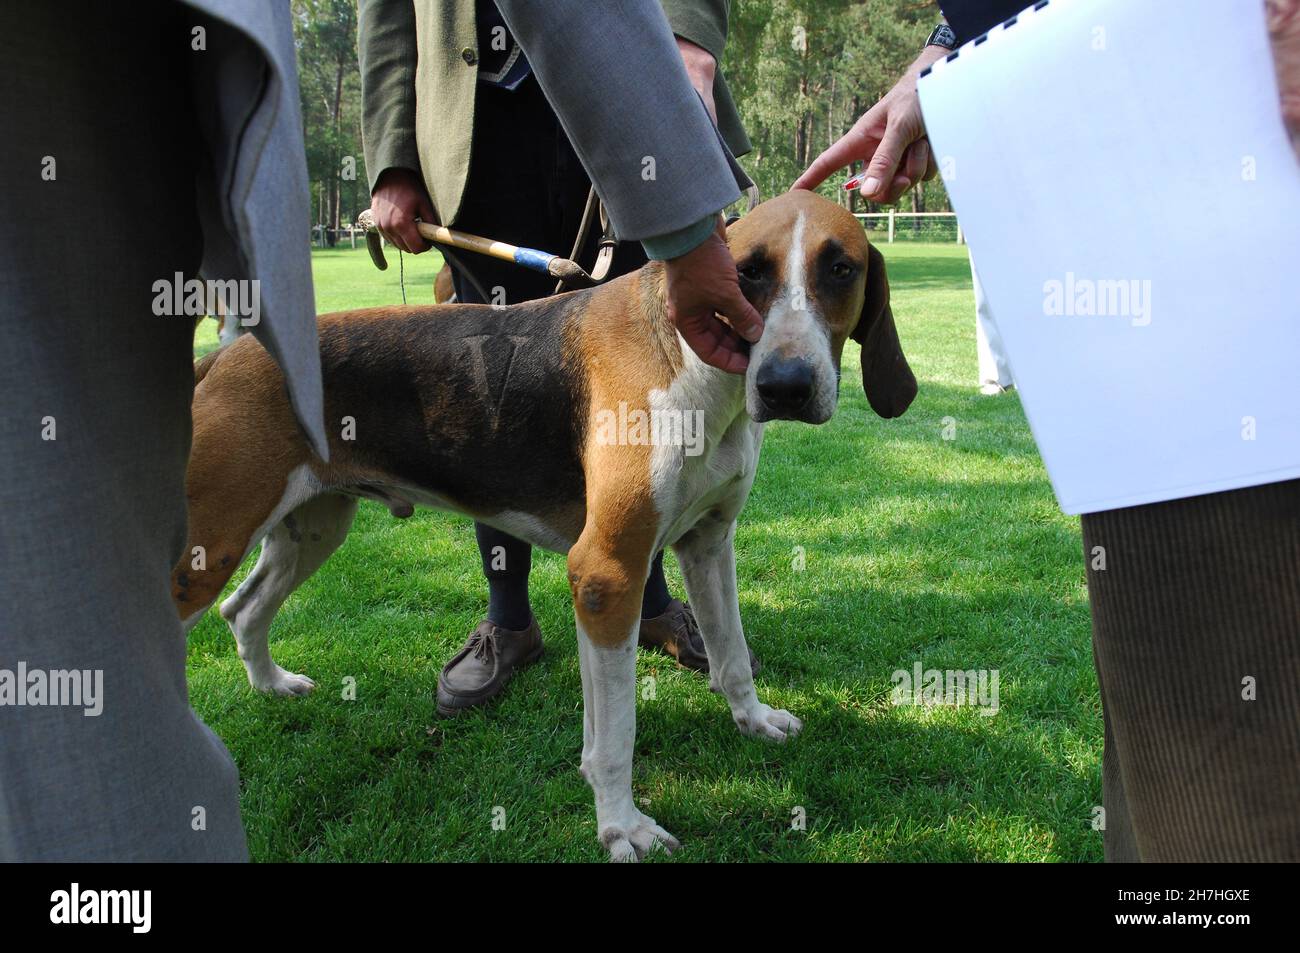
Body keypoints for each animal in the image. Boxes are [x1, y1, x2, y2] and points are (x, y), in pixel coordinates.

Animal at [172, 189, 920, 858]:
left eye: (840, 269)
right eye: (750, 273)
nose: (786, 385)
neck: (692, 358)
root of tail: (227, 355)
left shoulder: (706, 544)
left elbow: (729, 654)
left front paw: (754, 720)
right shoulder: (607, 573)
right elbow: (617, 735)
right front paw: (622, 827)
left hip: (314, 527)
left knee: (243, 610)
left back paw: (272, 687)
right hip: (212, 545)